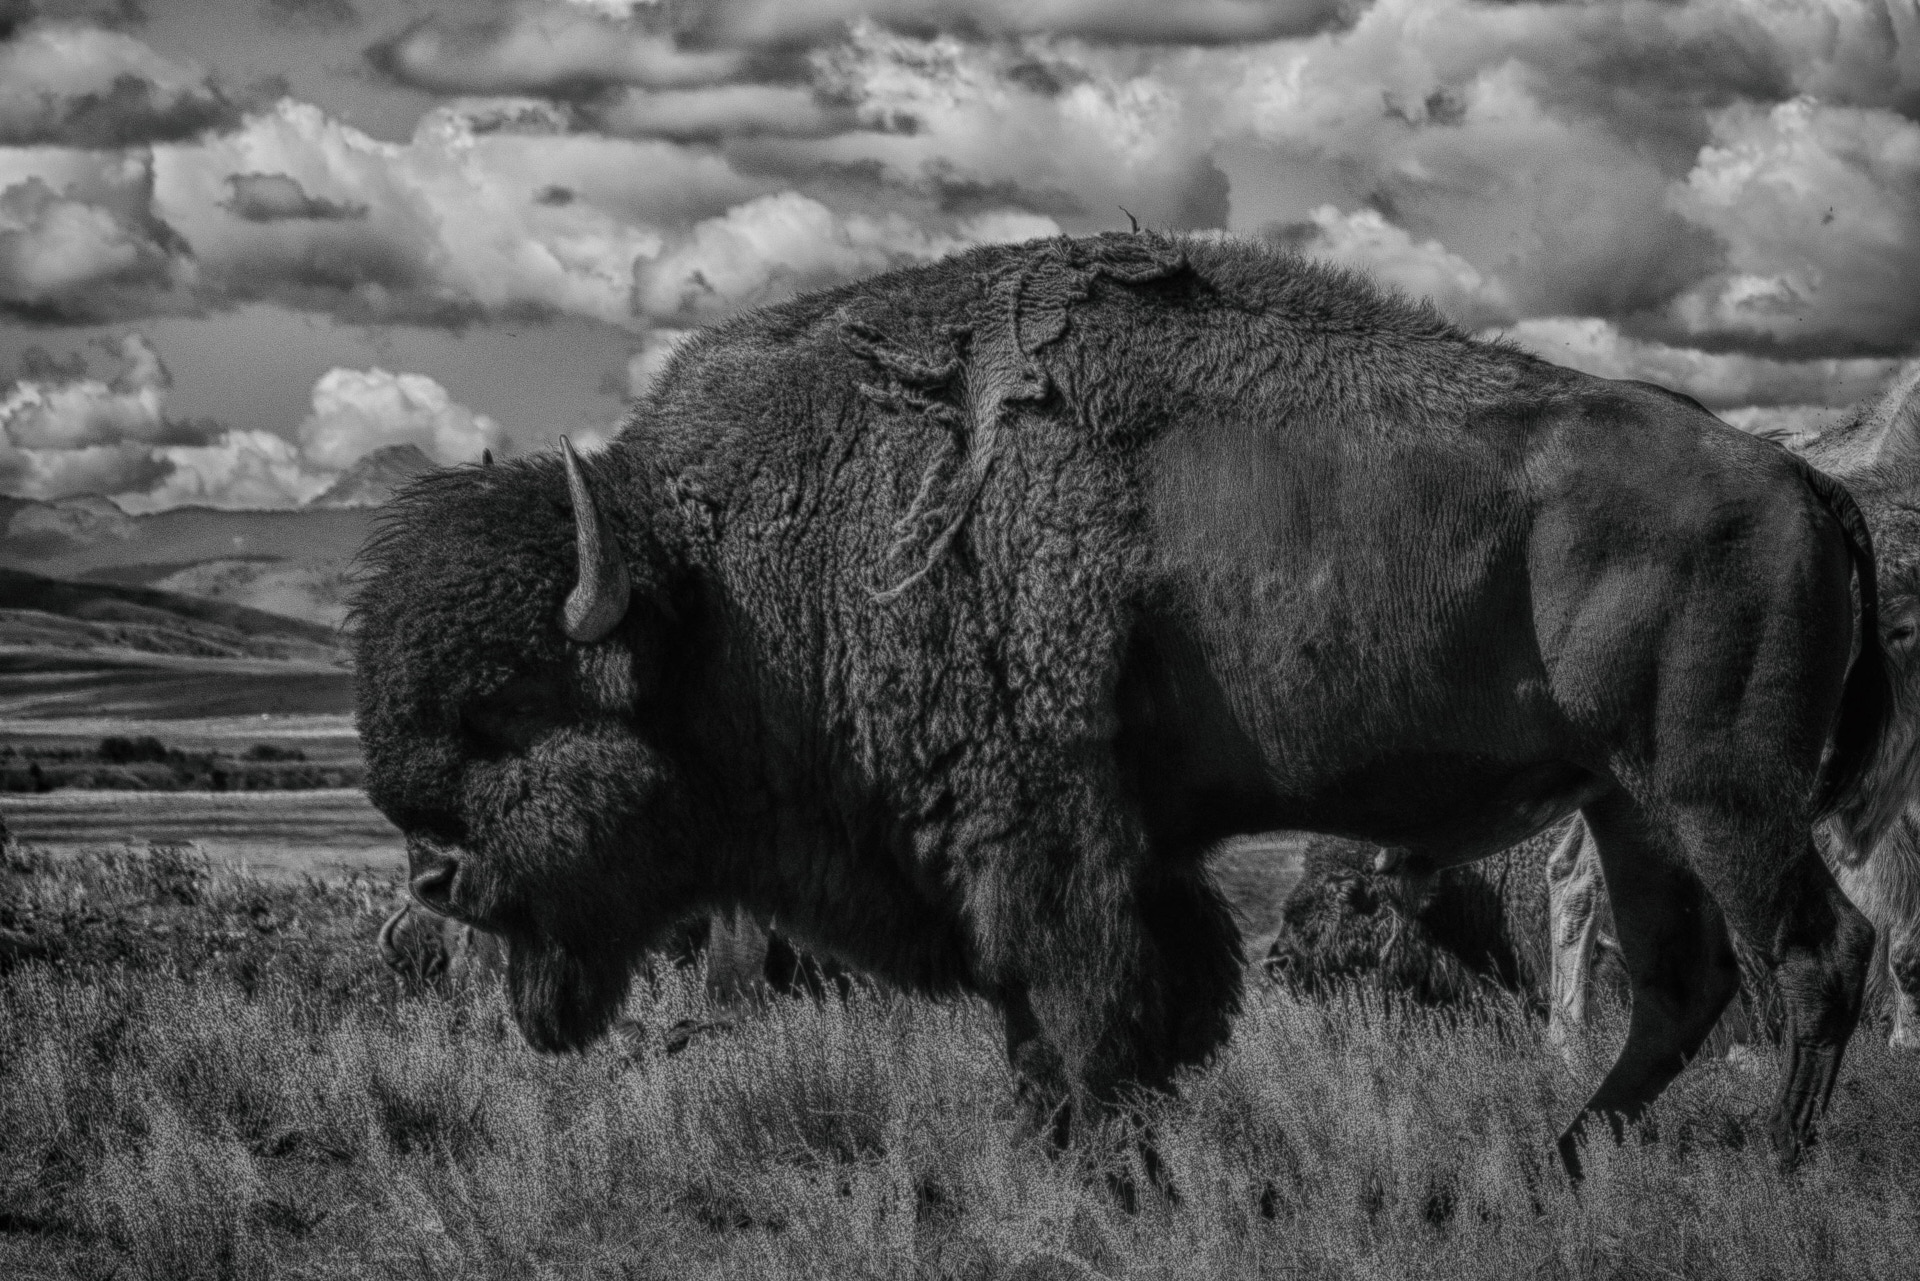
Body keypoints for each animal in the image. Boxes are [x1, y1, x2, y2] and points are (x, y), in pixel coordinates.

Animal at [351, 231, 1892, 1172]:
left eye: (513, 715)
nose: (433, 876)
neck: (729, 586)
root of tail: (1798, 475)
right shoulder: (1129, 851)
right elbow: (1102, 1026)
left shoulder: (1050, 837)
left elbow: (1089, 1024)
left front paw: (1100, 1170)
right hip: (1632, 804)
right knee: (1686, 986)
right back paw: (1561, 1157)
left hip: (1719, 792)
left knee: (1818, 954)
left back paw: (1777, 1168)